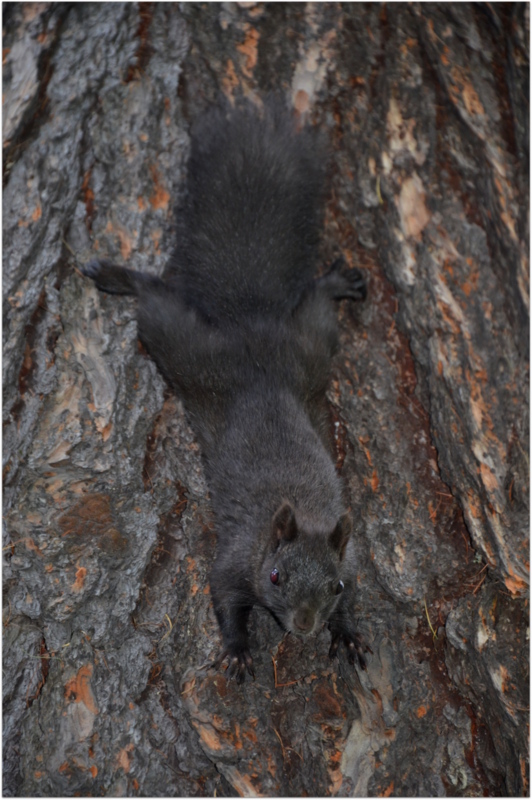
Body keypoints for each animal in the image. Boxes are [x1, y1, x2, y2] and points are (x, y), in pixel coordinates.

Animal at [83, 101, 370, 680]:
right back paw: (119, 277)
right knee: (155, 299)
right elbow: (224, 597)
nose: (304, 626)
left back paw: (337, 283)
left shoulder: (348, 558)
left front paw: (347, 632)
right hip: (187, 351)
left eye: (334, 585)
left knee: (316, 303)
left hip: (310, 347)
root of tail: (250, 324)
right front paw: (237, 650)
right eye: (277, 577)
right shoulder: (235, 559)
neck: (299, 521)